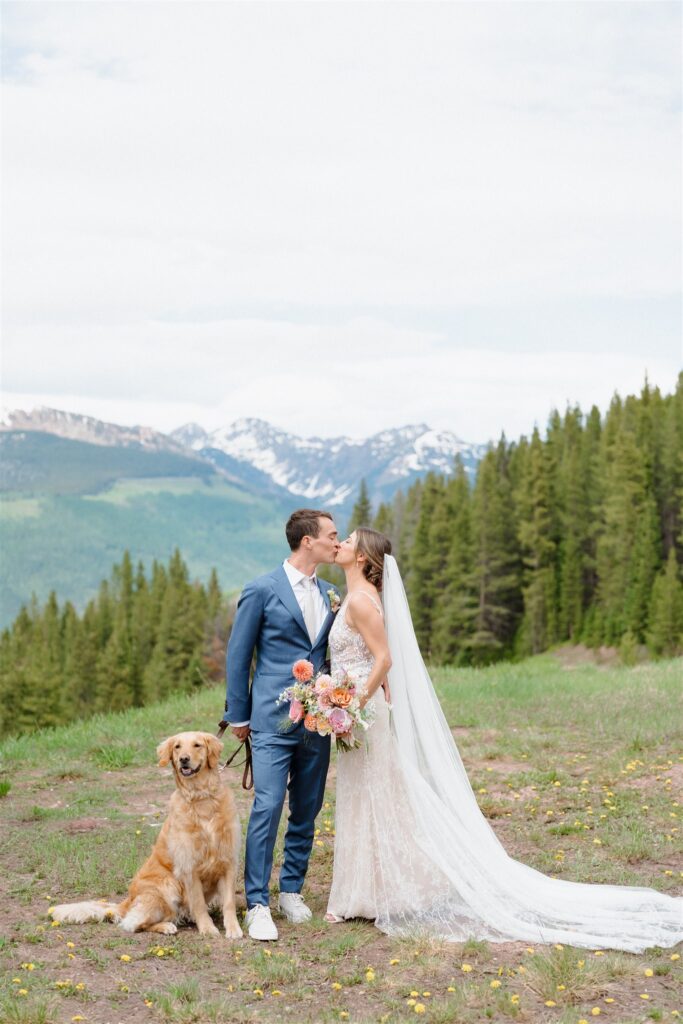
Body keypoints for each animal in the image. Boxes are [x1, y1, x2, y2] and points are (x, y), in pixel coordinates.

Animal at [48, 733, 240, 937]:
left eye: (197, 745)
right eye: (177, 747)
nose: (184, 759)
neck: (201, 797)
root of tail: (128, 900)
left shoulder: (228, 861)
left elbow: (229, 902)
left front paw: (233, 929)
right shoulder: (189, 866)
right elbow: (199, 904)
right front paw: (208, 929)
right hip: (167, 885)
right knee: (134, 924)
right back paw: (166, 926)